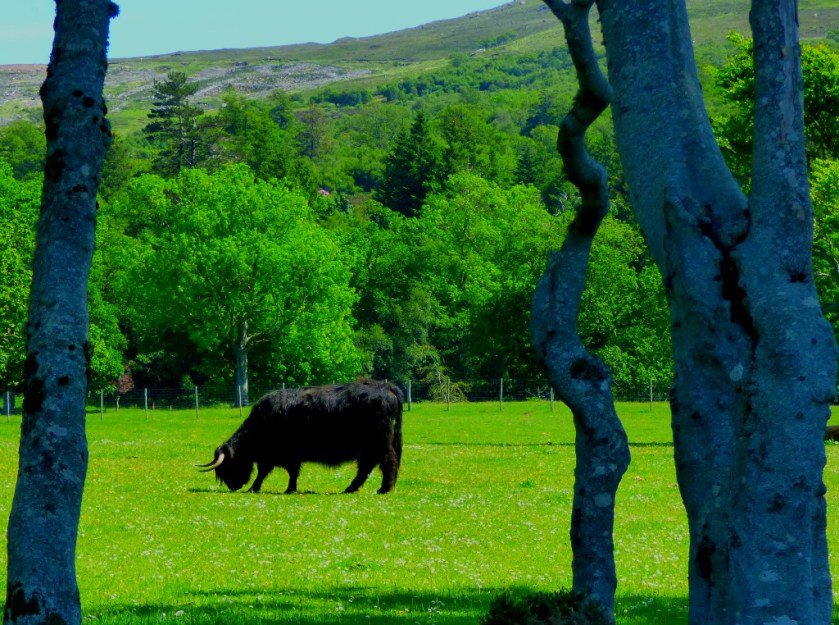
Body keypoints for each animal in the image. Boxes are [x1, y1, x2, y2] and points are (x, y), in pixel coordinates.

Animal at [197, 380, 403, 494]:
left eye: (227, 466)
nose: (233, 486)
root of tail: (384, 386)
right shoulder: (281, 456)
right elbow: (282, 472)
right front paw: (288, 488)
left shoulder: (283, 455)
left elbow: (273, 472)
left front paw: (259, 488)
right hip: (369, 447)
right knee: (366, 467)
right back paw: (351, 488)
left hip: (379, 442)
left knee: (387, 461)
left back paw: (384, 489)